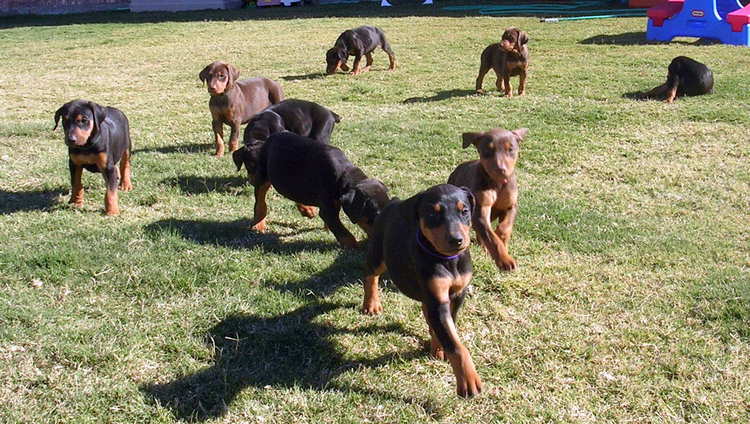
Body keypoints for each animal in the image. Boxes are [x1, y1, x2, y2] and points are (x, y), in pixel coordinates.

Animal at [238, 132, 390, 248]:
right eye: (374, 217)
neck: (344, 175)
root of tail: (266, 141)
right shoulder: (328, 209)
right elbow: (342, 232)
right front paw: (355, 247)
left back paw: (306, 209)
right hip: (262, 174)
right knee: (260, 200)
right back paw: (258, 224)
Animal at [446, 127, 528, 270]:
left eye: (510, 149)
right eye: (487, 151)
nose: (501, 170)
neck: (497, 183)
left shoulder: (511, 206)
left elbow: (504, 228)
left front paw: (502, 239)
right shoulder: (480, 210)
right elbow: (490, 236)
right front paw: (505, 260)